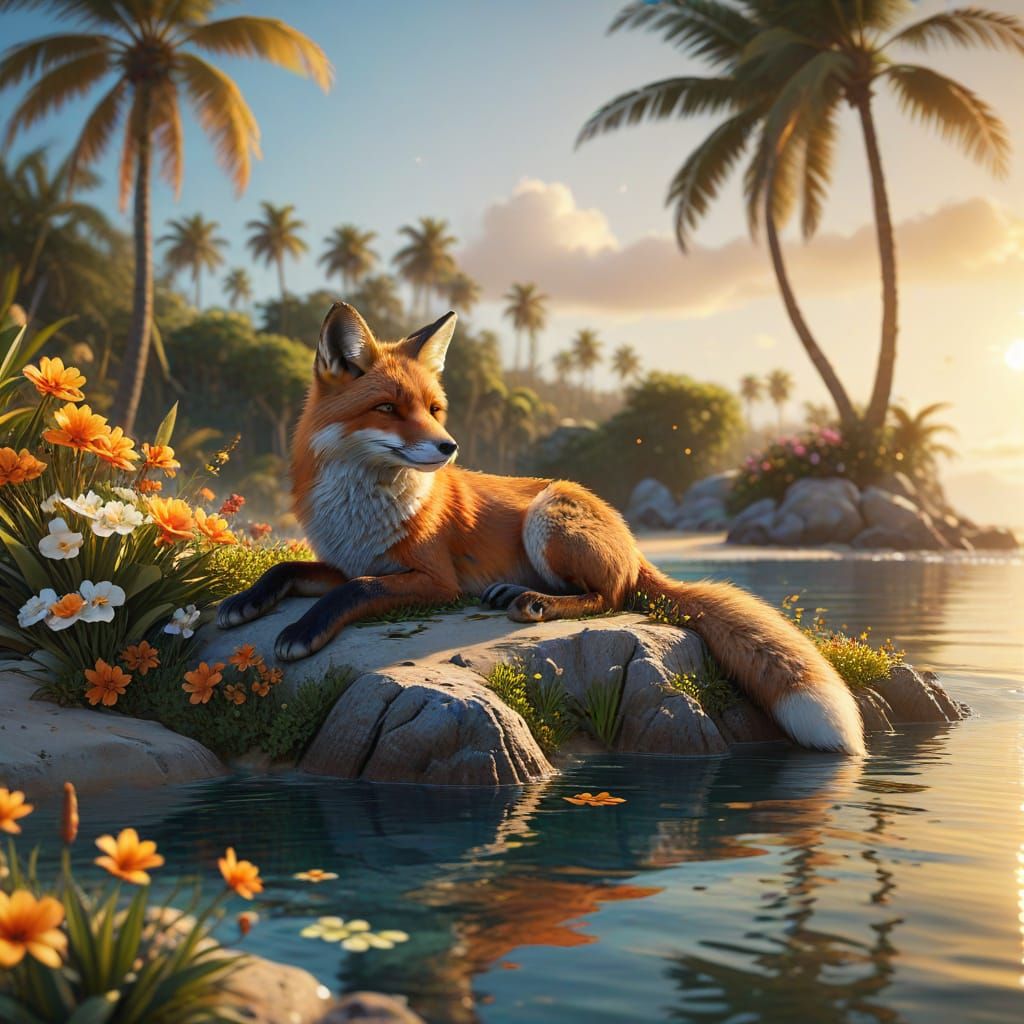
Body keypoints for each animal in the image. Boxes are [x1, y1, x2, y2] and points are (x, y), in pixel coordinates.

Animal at [217, 302, 866, 756]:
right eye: (387, 409)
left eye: (434, 409)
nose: (449, 447)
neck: (361, 505)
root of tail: (633, 540)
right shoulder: (344, 558)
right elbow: (288, 567)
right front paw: (244, 602)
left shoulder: (432, 580)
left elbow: (359, 590)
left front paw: (303, 630)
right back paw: (515, 590)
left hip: (548, 517)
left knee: (609, 595)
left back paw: (537, 602)